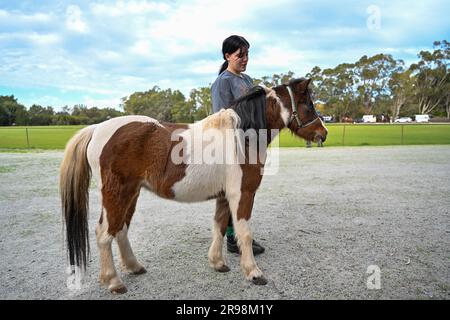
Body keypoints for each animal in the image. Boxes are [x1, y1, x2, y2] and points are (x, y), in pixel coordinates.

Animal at [59, 77, 326, 292]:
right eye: (308, 105)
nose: (323, 133)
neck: (242, 135)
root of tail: (97, 129)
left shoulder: (223, 196)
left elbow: (220, 226)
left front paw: (218, 263)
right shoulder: (243, 194)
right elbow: (244, 233)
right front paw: (253, 272)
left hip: (131, 194)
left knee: (121, 230)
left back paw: (134, 267)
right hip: (117, 194)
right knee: (105, 234)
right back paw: (114, 282)